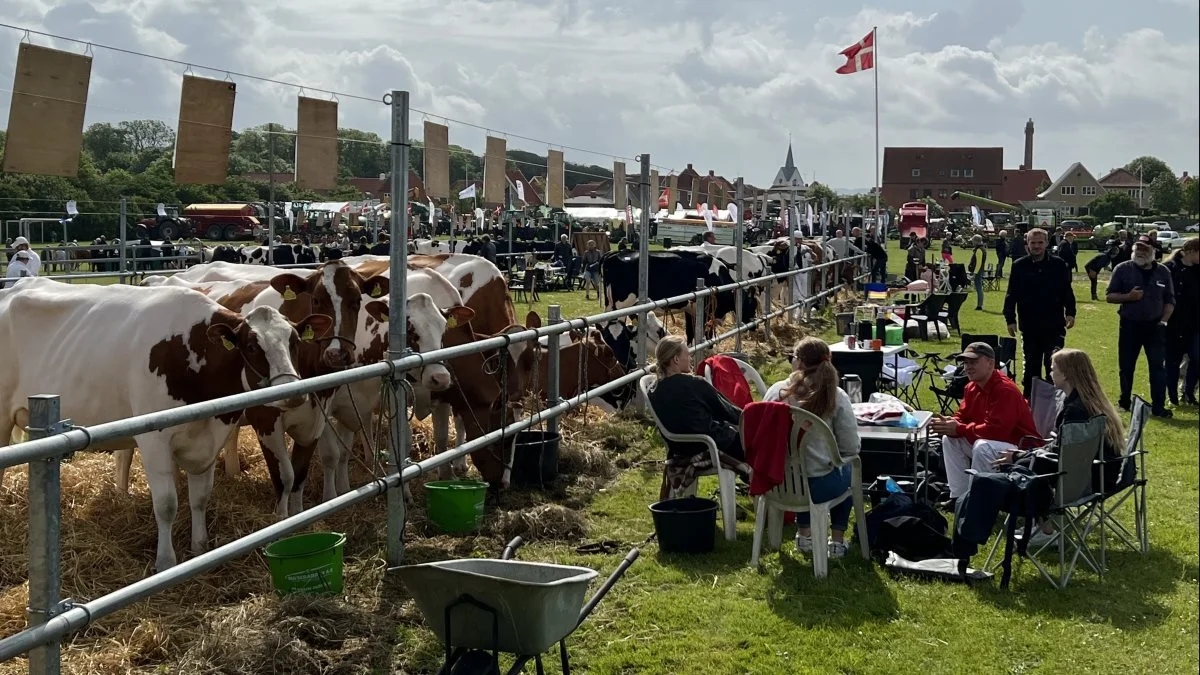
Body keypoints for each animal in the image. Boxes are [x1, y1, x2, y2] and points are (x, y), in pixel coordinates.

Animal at [0, 276, 328, 569]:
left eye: (294, 342)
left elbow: (200, 497)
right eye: (250, 345)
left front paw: (199, 548)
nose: (292, 391)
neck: (191, 352)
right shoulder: (154, 438)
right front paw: (166, 561)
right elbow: (167, 504)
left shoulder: (210, 435)